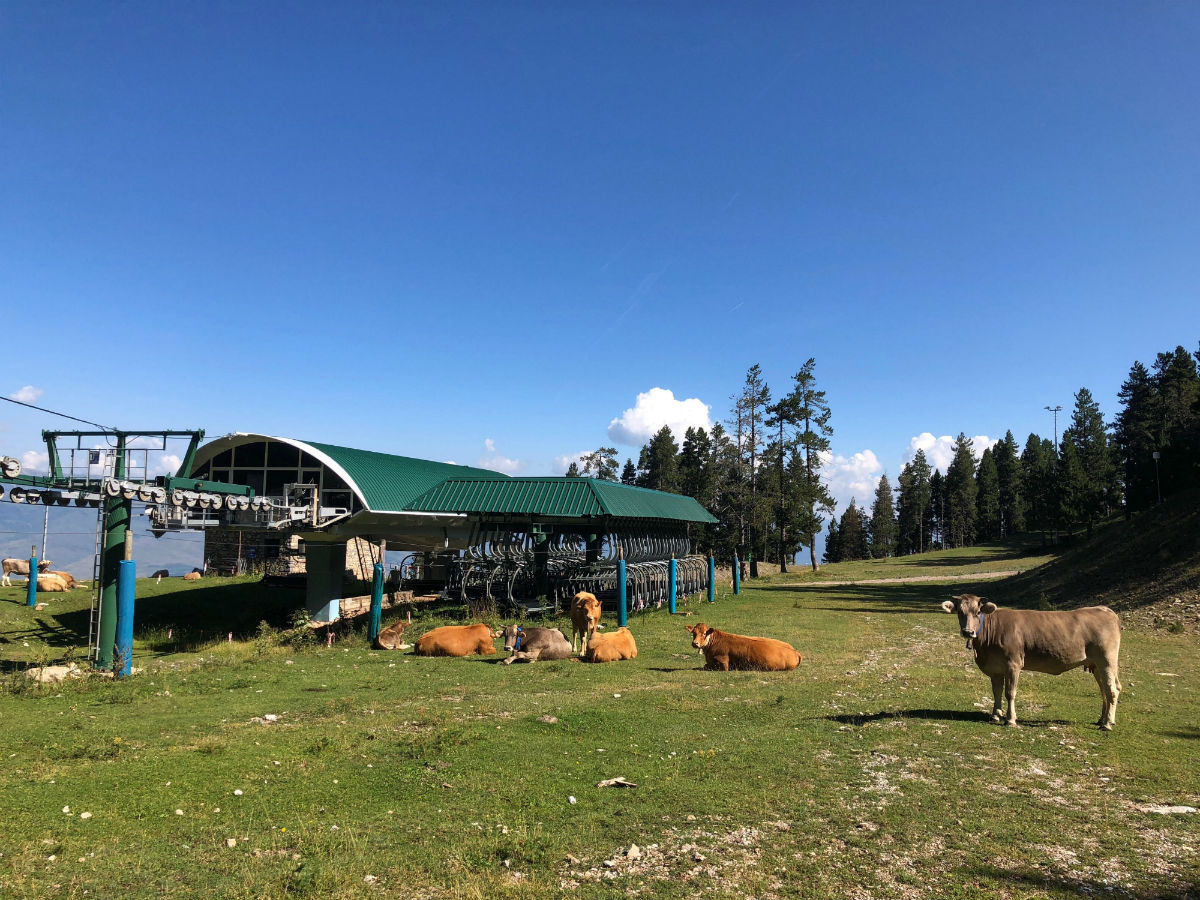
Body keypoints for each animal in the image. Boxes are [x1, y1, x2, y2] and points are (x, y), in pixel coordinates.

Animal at [936, 592, 1123, 734]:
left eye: (977, 612)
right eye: (960, 612)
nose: (968, 632)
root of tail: (1105, 610)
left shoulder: (1013, 664)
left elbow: (1010, 693)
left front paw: (1010, 720)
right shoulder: (995, 668)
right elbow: (996, 692)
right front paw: (995, 715)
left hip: (1107, 660)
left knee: (1112, 689)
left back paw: (1107, 724)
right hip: (1096, 665)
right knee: (1105, 689)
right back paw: (1102, 720)